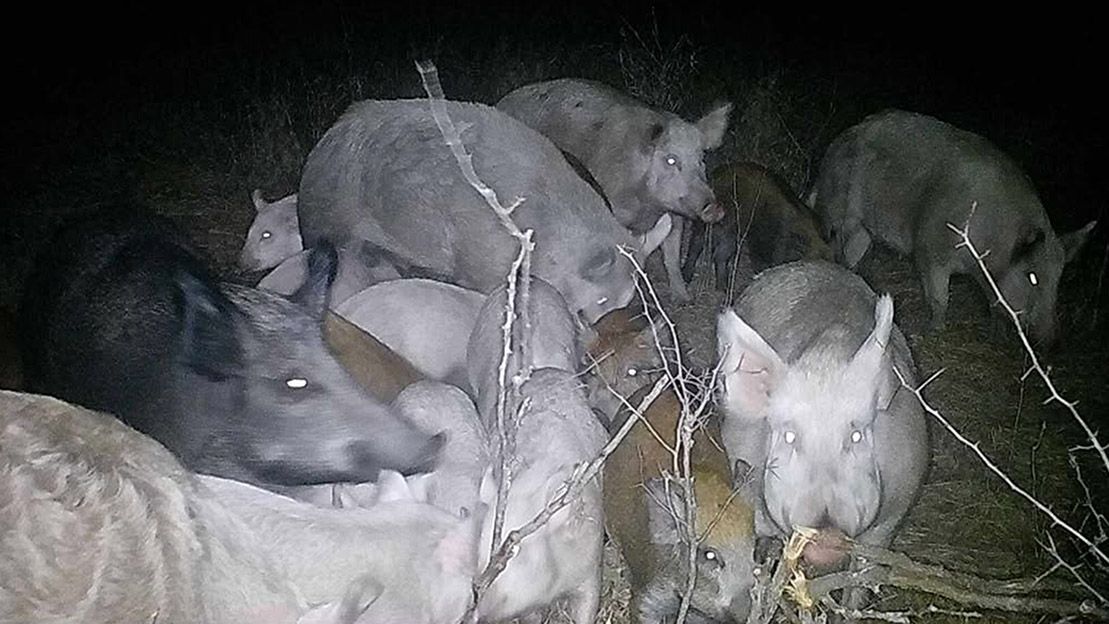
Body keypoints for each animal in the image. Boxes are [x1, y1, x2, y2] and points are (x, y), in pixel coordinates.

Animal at [496, 78, 732, 302]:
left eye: (701, 159)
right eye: (671, 159)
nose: (716, 207)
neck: (647, 206)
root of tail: (503, 101)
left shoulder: (675, 214)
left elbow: (672, 255)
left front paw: (683, 299)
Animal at [809, 109, 1096, 346]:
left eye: (1059, 278)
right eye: (1033, 277)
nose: (1053, 342)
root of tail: (844, 135)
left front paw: (997, 339)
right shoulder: (929, 248)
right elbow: (939, 298)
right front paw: (933, 331)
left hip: (863, 230)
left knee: (855, 251)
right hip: (834, 207)